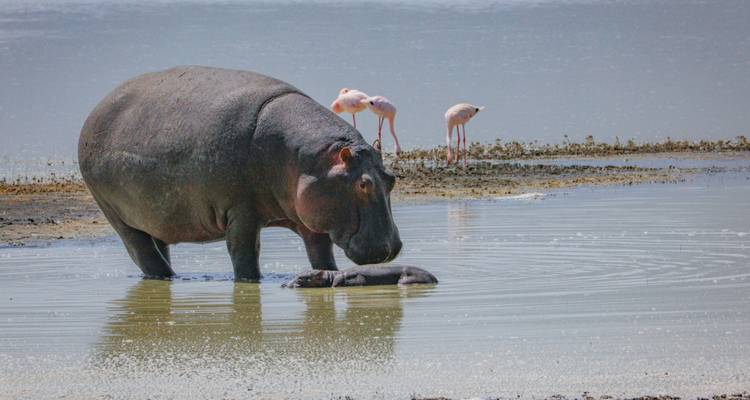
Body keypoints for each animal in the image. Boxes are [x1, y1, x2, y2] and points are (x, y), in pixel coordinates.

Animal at [78, 66, 402, 281]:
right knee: (143, 253)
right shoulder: (240, 210)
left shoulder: (310, 213)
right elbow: (244, 251)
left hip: (154, 217)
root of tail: (93, 113)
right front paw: (249, 282)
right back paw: (167, 276)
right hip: (114, 213)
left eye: (391, 179)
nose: (392, 248)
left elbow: (320, 251)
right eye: (362, 184)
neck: (315, 160)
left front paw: (328, 275)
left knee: (158, 246)